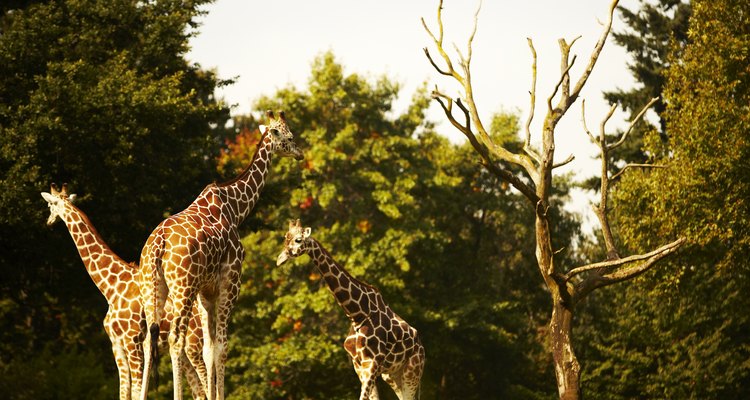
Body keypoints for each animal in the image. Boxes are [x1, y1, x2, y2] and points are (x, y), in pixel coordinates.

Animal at [41, 184, 209, 400]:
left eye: (50, 204)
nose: (49, 221)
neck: (111, 288)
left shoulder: (133, 342)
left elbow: (137, 392)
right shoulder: (117, 345)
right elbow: (124, 391)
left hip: (194, 345)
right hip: (184, 352)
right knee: (198, 390)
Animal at [140, 109, 304, 400]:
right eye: (289, 136)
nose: (301, 153)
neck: (236, 209)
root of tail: (158, 245)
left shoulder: (206, 293)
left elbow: (209, 349)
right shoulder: (230, 282)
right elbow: (223, 347)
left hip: (153, 286)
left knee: (150, 340)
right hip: (183, 287)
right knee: (175, 339)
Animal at [278, 219, 428, 400]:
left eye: (299, 239)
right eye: (285, 237)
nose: (280, 259)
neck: (357, 314)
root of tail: (421, 346)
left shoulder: (372, 363)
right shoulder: (359, 366)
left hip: (412, 371)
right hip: (393, 376)